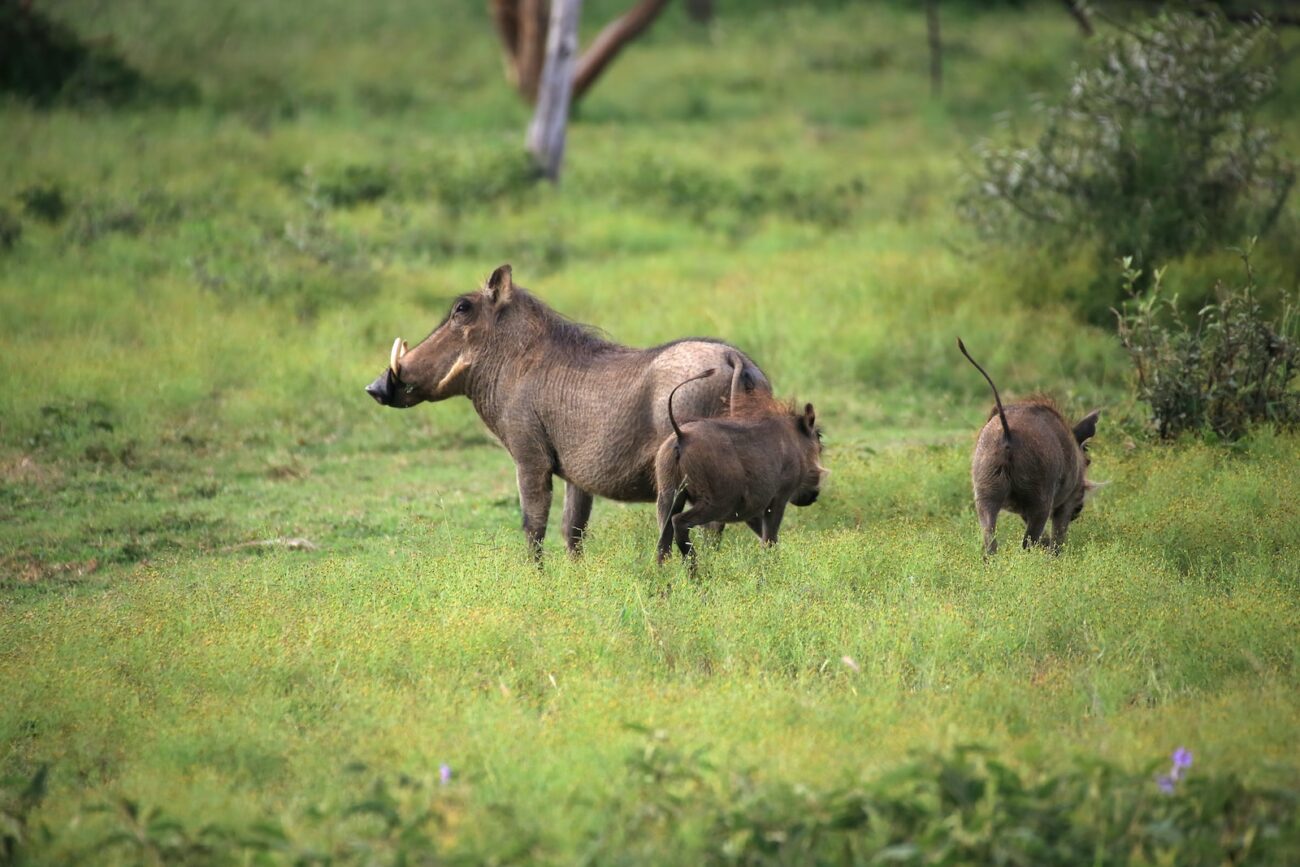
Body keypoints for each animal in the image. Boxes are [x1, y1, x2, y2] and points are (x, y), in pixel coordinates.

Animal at [366, 264, 770, 557]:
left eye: (462, 310)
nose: (375, 387)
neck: (515, 362)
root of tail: (732, 358)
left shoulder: (529, 456)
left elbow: (533, 525)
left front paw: (537, 583)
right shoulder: (578, 474)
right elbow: (571, 530)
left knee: (703, 527)